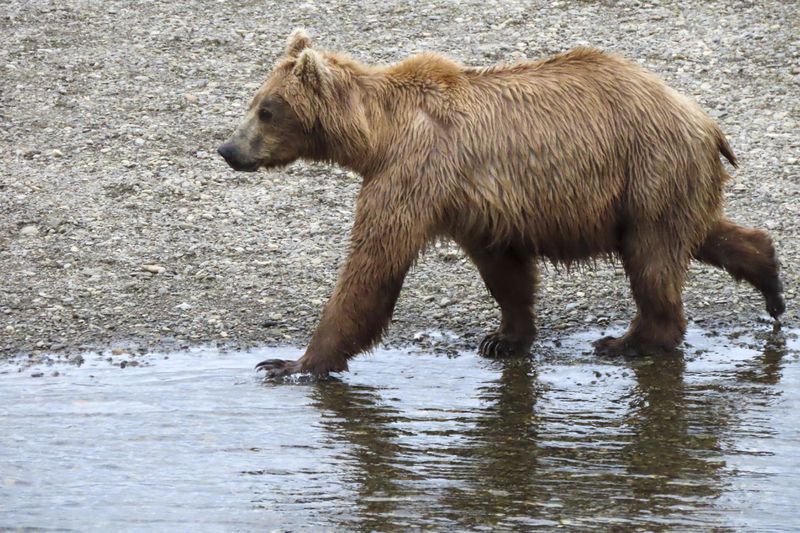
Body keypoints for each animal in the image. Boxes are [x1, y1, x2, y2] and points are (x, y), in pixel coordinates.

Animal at [216, 30, 784, 378]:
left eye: (266, 109)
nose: (227, 149)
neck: (376, 136)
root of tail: (704, 121)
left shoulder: (414, 172)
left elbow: (373, 264)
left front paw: (292, 363)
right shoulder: (470, 202)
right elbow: (504, 270)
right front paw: (503, 337)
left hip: (647, 170)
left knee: (652, 257)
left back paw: (629, 340)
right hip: (664, 182)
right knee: (699, 233)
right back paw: (771, 281)